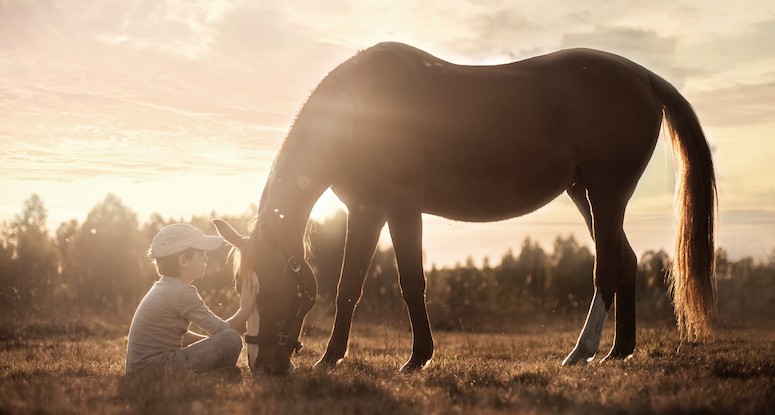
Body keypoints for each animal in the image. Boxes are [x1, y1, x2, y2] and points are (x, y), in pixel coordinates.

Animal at [212, 42, 716, 376]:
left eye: (273, 286)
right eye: (240, 286)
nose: (261, 365)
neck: (360, 114)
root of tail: (643, 76)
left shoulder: (401, 207)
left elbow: (411, 282)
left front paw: (417, 357)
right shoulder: (366, 210)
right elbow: (348, 286)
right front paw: (331, 357)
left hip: (606, 193)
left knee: (608, 268)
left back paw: (581, 351)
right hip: (584, 194)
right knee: (625, 261)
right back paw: (619, 350)